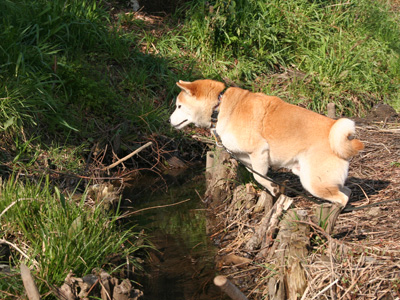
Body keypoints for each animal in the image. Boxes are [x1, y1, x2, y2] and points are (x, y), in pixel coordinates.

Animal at [169, 79, 362, 206]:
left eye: (179, 106)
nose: (169, 120)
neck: (219, 106)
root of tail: (334, 133)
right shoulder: (246, 157)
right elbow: (255, 173)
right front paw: (273, 186)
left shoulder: (259, 150)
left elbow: (258, 177)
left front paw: (273, 188)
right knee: (347, 191)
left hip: (313, 182)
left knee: (342, 198)